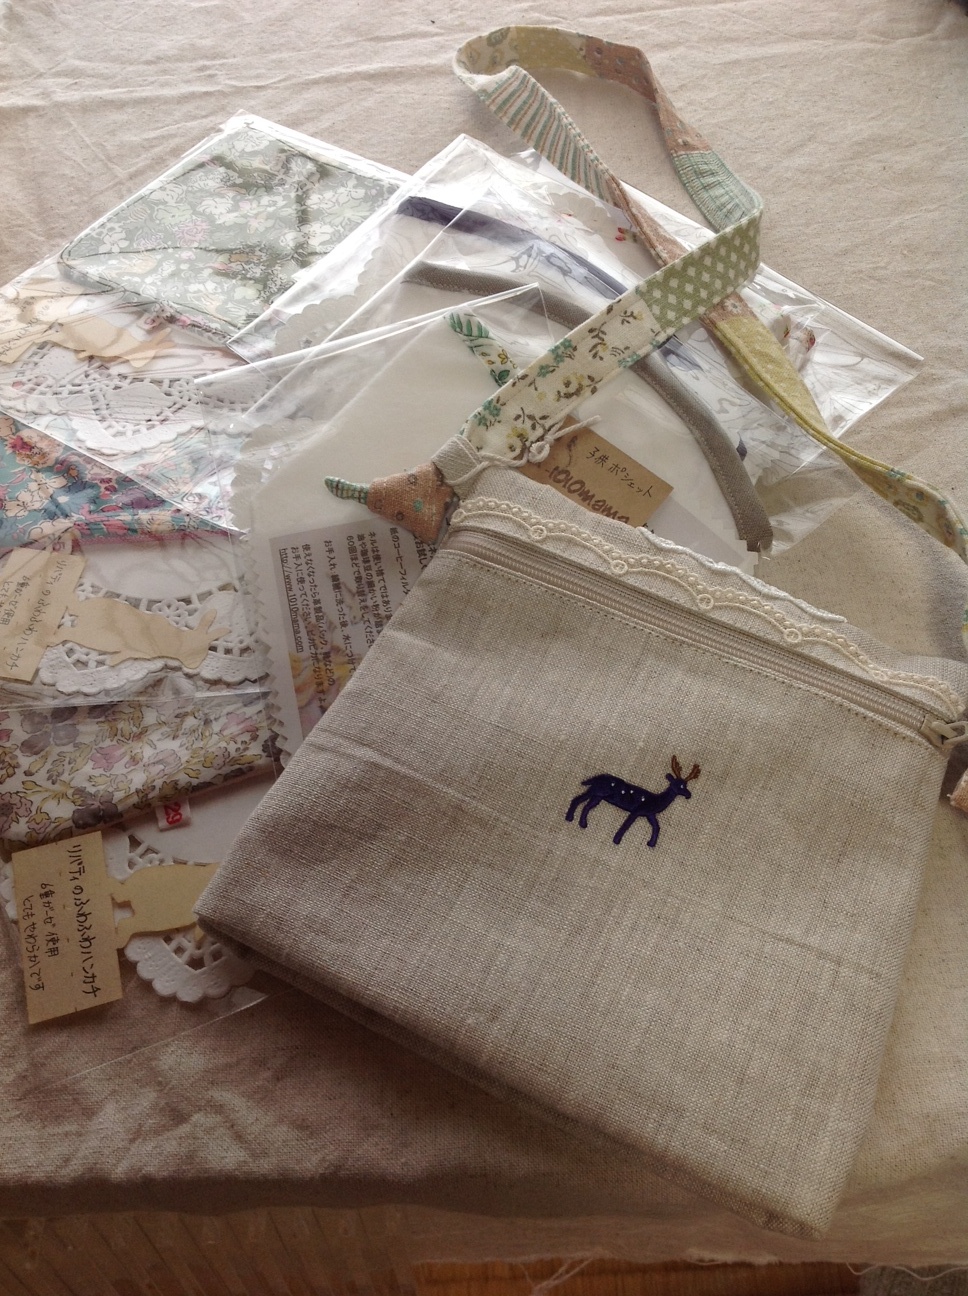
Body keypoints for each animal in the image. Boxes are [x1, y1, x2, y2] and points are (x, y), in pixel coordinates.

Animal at [566, 756, 701, 847]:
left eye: (685, 785)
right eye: (680, 786)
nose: (689, 795)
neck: (656, 801)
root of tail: (595, 777)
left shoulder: (649, 814)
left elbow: (656, 827)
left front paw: (650, 843)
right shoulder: (637, 810)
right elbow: (626, 825)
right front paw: (616, 840)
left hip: (597, 795)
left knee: (587, 806)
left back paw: (582, 824)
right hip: (596, 791)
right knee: (578, 799)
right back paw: (569, 818)